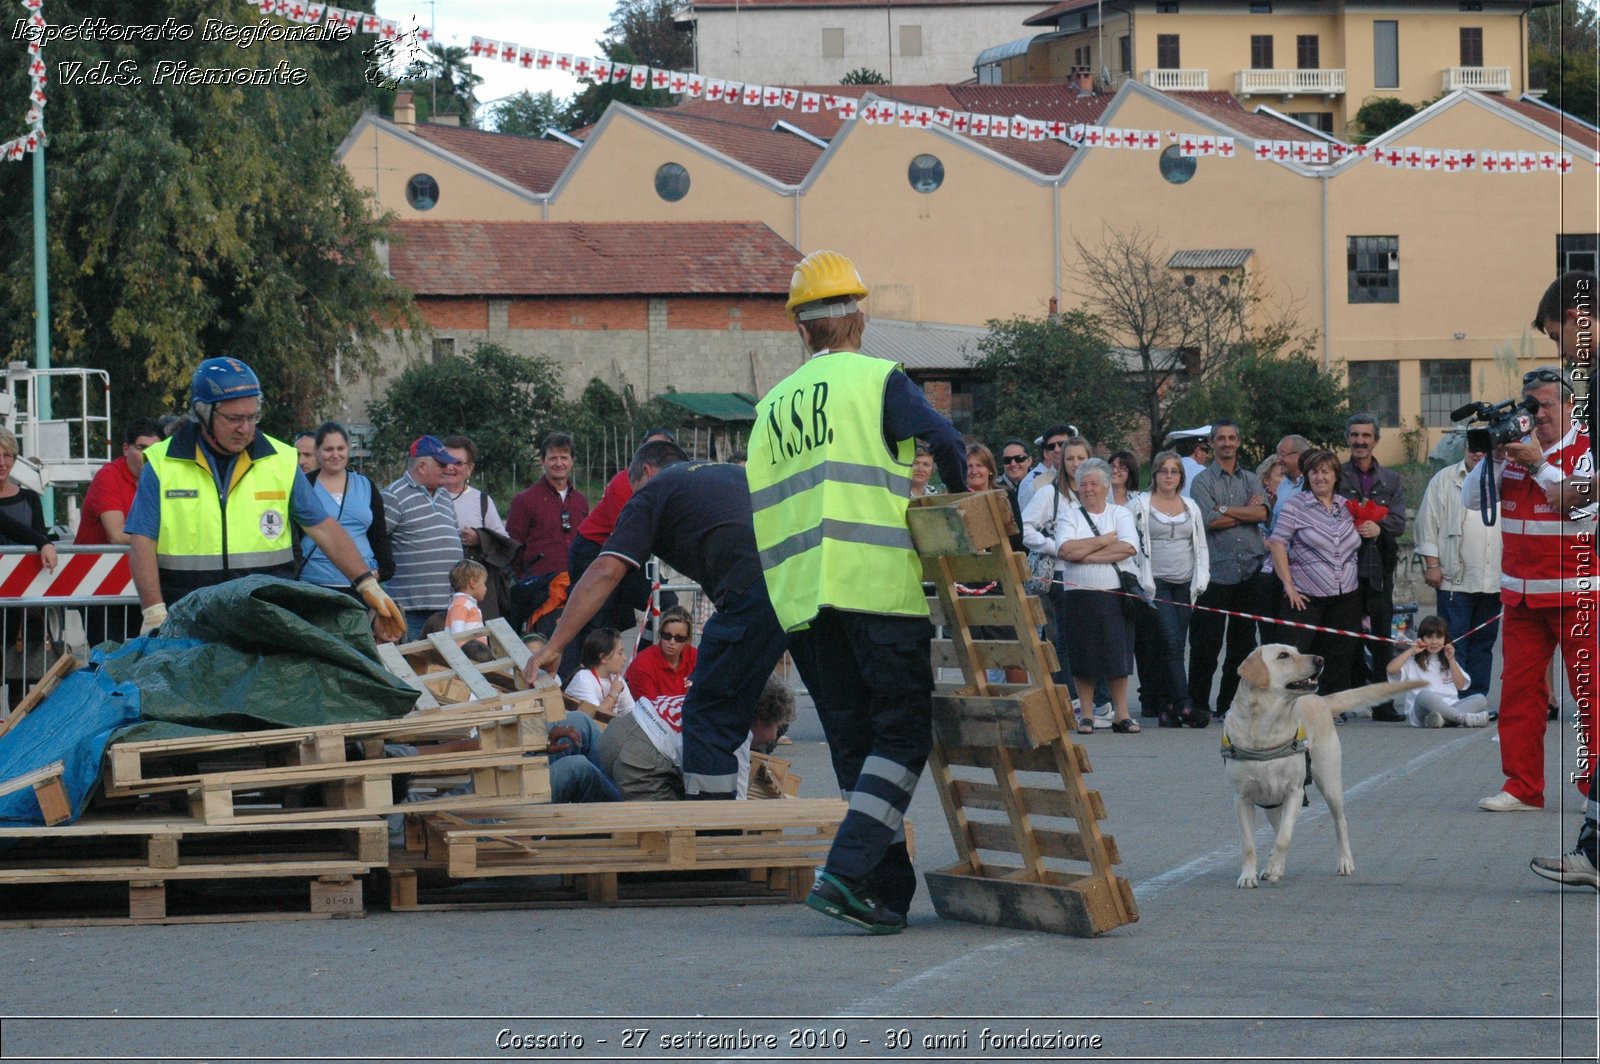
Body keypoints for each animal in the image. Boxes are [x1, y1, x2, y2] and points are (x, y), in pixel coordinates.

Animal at [1222, 646, 1427, 889]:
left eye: (1296, 651)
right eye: (1283, 655)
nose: (1320, 659)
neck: (1266, 728)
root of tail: (1321, 699)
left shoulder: (1295, 791)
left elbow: (1284, 838)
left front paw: (1272, 869)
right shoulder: (1242, 798)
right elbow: (1249, 844)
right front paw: (1248, 876)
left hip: (1330, 784)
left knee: (1340, 823)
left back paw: (1344, 862)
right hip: (1271, 801)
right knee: (1278, 826)